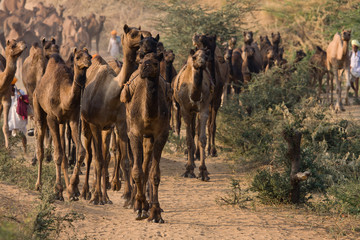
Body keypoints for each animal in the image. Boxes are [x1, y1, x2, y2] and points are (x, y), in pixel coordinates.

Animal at [33, 47, 91, 200]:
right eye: (77, 57)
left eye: (89, 55)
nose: (87, 62)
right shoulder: (52, 118)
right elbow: (57, 154)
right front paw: (58, 190)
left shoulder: (73, 118)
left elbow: (81, 151)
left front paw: (72, 188)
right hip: (38, 108)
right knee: (40, 147)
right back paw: (38, 185)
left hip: (62, 123)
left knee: (64, 150)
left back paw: (69, 188)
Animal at [173, 48, 212, 180]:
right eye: (194, 57)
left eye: (206, 56)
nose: (201, 62)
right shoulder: (185, 110)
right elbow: (188, 139)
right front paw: (189, 170)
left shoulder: (204, 109)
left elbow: (202, 138)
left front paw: (203, 172)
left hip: (196, 112)